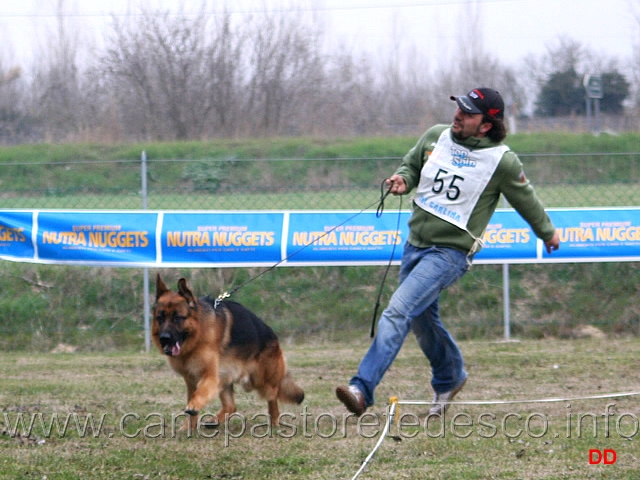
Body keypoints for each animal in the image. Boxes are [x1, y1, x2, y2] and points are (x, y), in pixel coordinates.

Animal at [154, 276, 306, 430]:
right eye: (160, 318)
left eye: (178, 318)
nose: (164, 338)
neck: (198, 333)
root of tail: (273, 335)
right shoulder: (191, 379)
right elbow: (193, 397)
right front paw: (188, 427)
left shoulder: (210, 376)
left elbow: (200, 393)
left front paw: (194, 406)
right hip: (226, 377)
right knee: (232, 406)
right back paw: (215, 420)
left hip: (261, 380)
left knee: (273, 395)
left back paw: (274, 420)